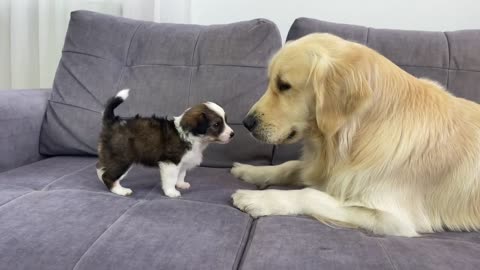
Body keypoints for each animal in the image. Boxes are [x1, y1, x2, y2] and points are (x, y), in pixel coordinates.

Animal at [96, 89, 234, 197]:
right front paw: (171, 192)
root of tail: (113, 122)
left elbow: (181, 174)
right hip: (123, 158)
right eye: (216, 124)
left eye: (225, 121)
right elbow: (171, 179)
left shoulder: (183, 162)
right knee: (108, 175)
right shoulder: (170, 162)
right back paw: (120, 190)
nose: (232, 134)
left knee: (100, 168)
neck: (192, 137)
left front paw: (181, 184)